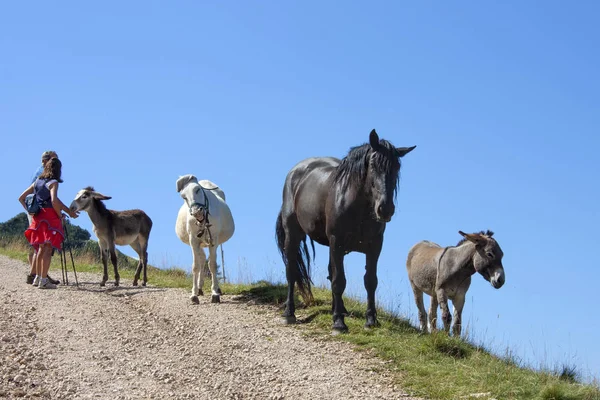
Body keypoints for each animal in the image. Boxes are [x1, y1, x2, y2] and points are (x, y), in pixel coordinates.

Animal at [175, 175, 233, 304]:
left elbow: (212, 265)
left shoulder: (214, 239)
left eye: (197, 189)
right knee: (202, 259)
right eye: (183, 196)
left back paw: (216, 288)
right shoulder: (193, 240)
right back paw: (199, 288)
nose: (197, 212)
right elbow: (196, 266)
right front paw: (194, 294)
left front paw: (215, 293)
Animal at [276, 130, 412, 332]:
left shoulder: (374, 246)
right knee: (292, 270)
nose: (385, 209)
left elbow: (370, 281)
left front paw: (370, 320)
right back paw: (289, 313)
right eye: (373, 165)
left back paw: (339, 309)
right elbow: (339, 281)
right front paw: (339, 323)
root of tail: (295, 172)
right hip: (293, 236)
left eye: (397, 167)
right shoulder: (337, 243)